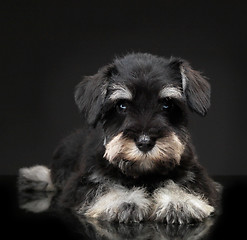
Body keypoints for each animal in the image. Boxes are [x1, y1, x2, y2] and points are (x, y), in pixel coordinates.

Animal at [18, 52, 221, 223]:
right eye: (122, 105)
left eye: (167, 104)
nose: (145, 142)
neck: (144, 173)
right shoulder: (80, 183)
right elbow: (101, 187)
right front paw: (124, 200)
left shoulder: (195, 173)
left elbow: (187, 185)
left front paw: (179, 202)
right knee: (53, 175)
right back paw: (35, 175)